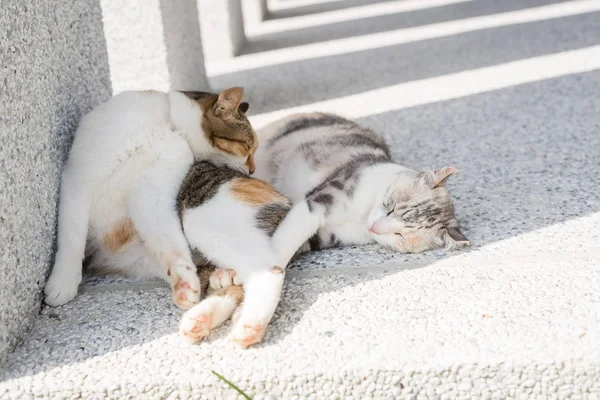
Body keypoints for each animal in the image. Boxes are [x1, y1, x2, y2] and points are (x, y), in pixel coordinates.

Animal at [43, 87, 255, 308]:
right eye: (248, 147)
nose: (252, 170)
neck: (168, 128)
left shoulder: (152, 195)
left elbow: (172, 244)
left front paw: (185, 282)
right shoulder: (79, 179)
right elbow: (72, 238)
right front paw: (63, 282)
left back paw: (223, 275)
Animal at [252, 113, 468, 268]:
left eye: (401, 235)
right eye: (391, 207)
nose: (375, 228)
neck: (361, 218)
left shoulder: (324, 236)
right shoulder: (321, 199)